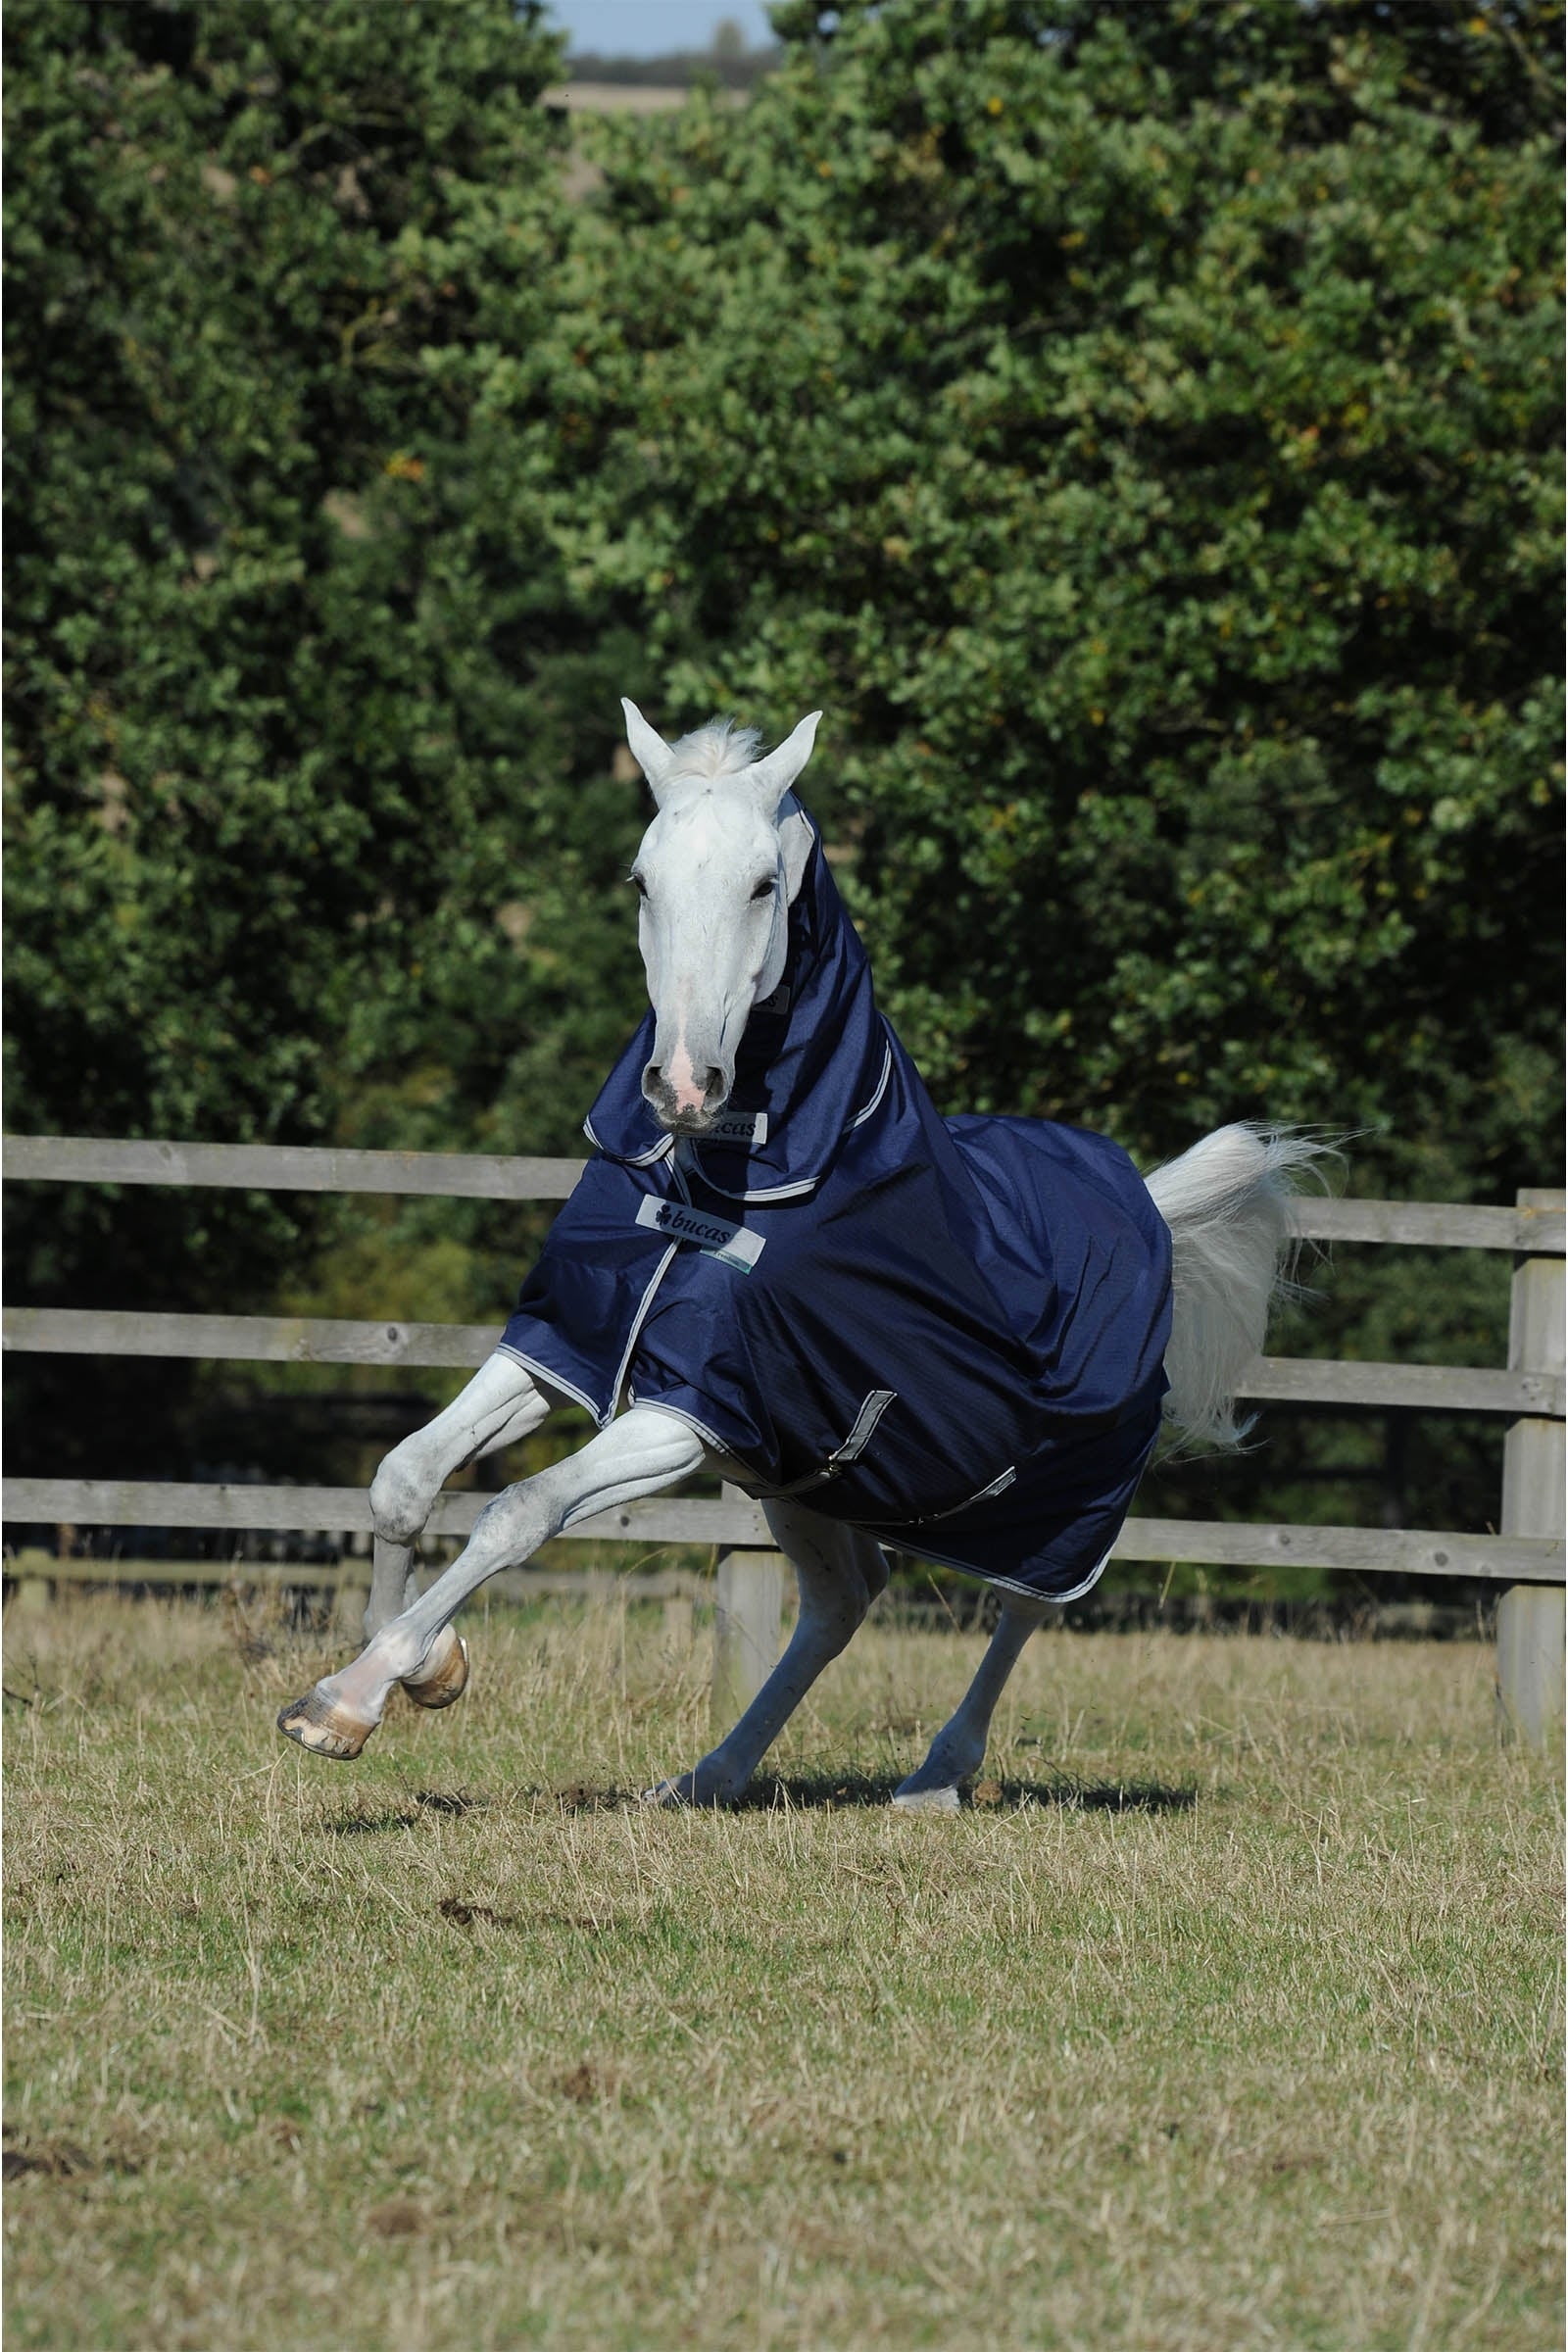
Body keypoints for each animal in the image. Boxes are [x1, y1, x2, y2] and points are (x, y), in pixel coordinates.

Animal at [278, 702, 1334, 1807]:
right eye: (641, 880)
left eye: (761, 885)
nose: (681, 1085)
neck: (723, 1184)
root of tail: (1145, 1209)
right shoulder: (577, 1344)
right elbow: (404, 1475)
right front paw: (427, 1670)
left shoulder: (684, 1413)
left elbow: (518, 1511)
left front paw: (350, 1698)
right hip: (798, 1480)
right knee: (844, 1600)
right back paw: (706, 1778)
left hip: (1060, 1504)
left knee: (1028, 1606)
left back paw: (933, 1778)